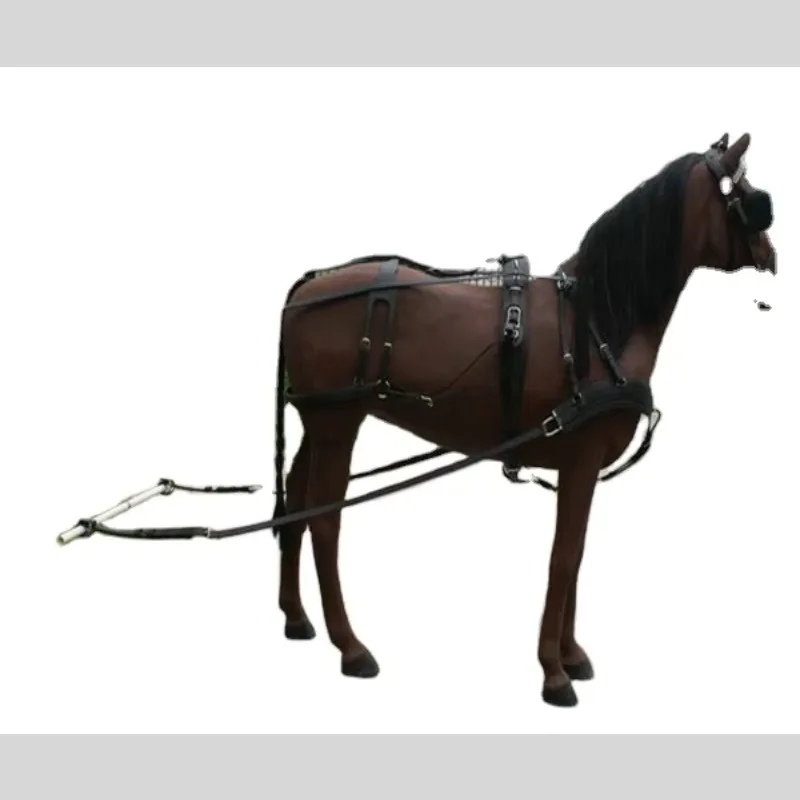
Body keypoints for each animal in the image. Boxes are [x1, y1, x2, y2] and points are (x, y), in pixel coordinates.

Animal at [272, 132, 776, 707]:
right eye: (750, 197)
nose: (772, 254)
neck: (596, 322)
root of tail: (305, 291)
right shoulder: (581, 461)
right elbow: (563, 557)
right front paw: (553, 672)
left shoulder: (580, 469)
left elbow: (577, 555)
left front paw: (572, 655)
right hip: (339, 425)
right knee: (324, 522)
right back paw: (351, 647)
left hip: (319, 424)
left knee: (296, 505)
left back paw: (296, 617)